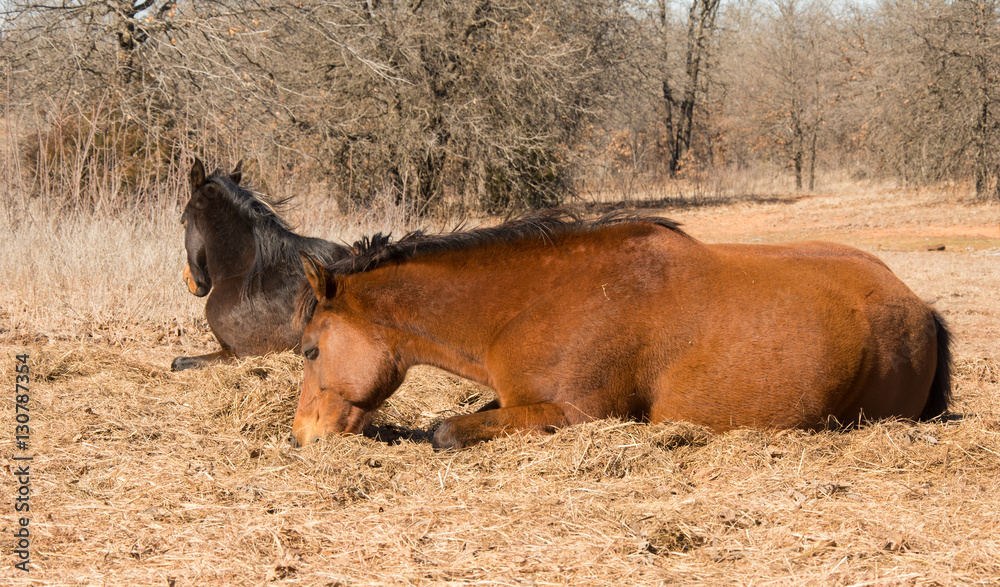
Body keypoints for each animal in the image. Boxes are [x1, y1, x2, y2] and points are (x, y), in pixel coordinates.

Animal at [291, 209, 952, 449]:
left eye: (311, 350)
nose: (302, 438)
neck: (533, 304)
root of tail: (916, 304)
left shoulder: (577, 414)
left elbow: (446, 430)